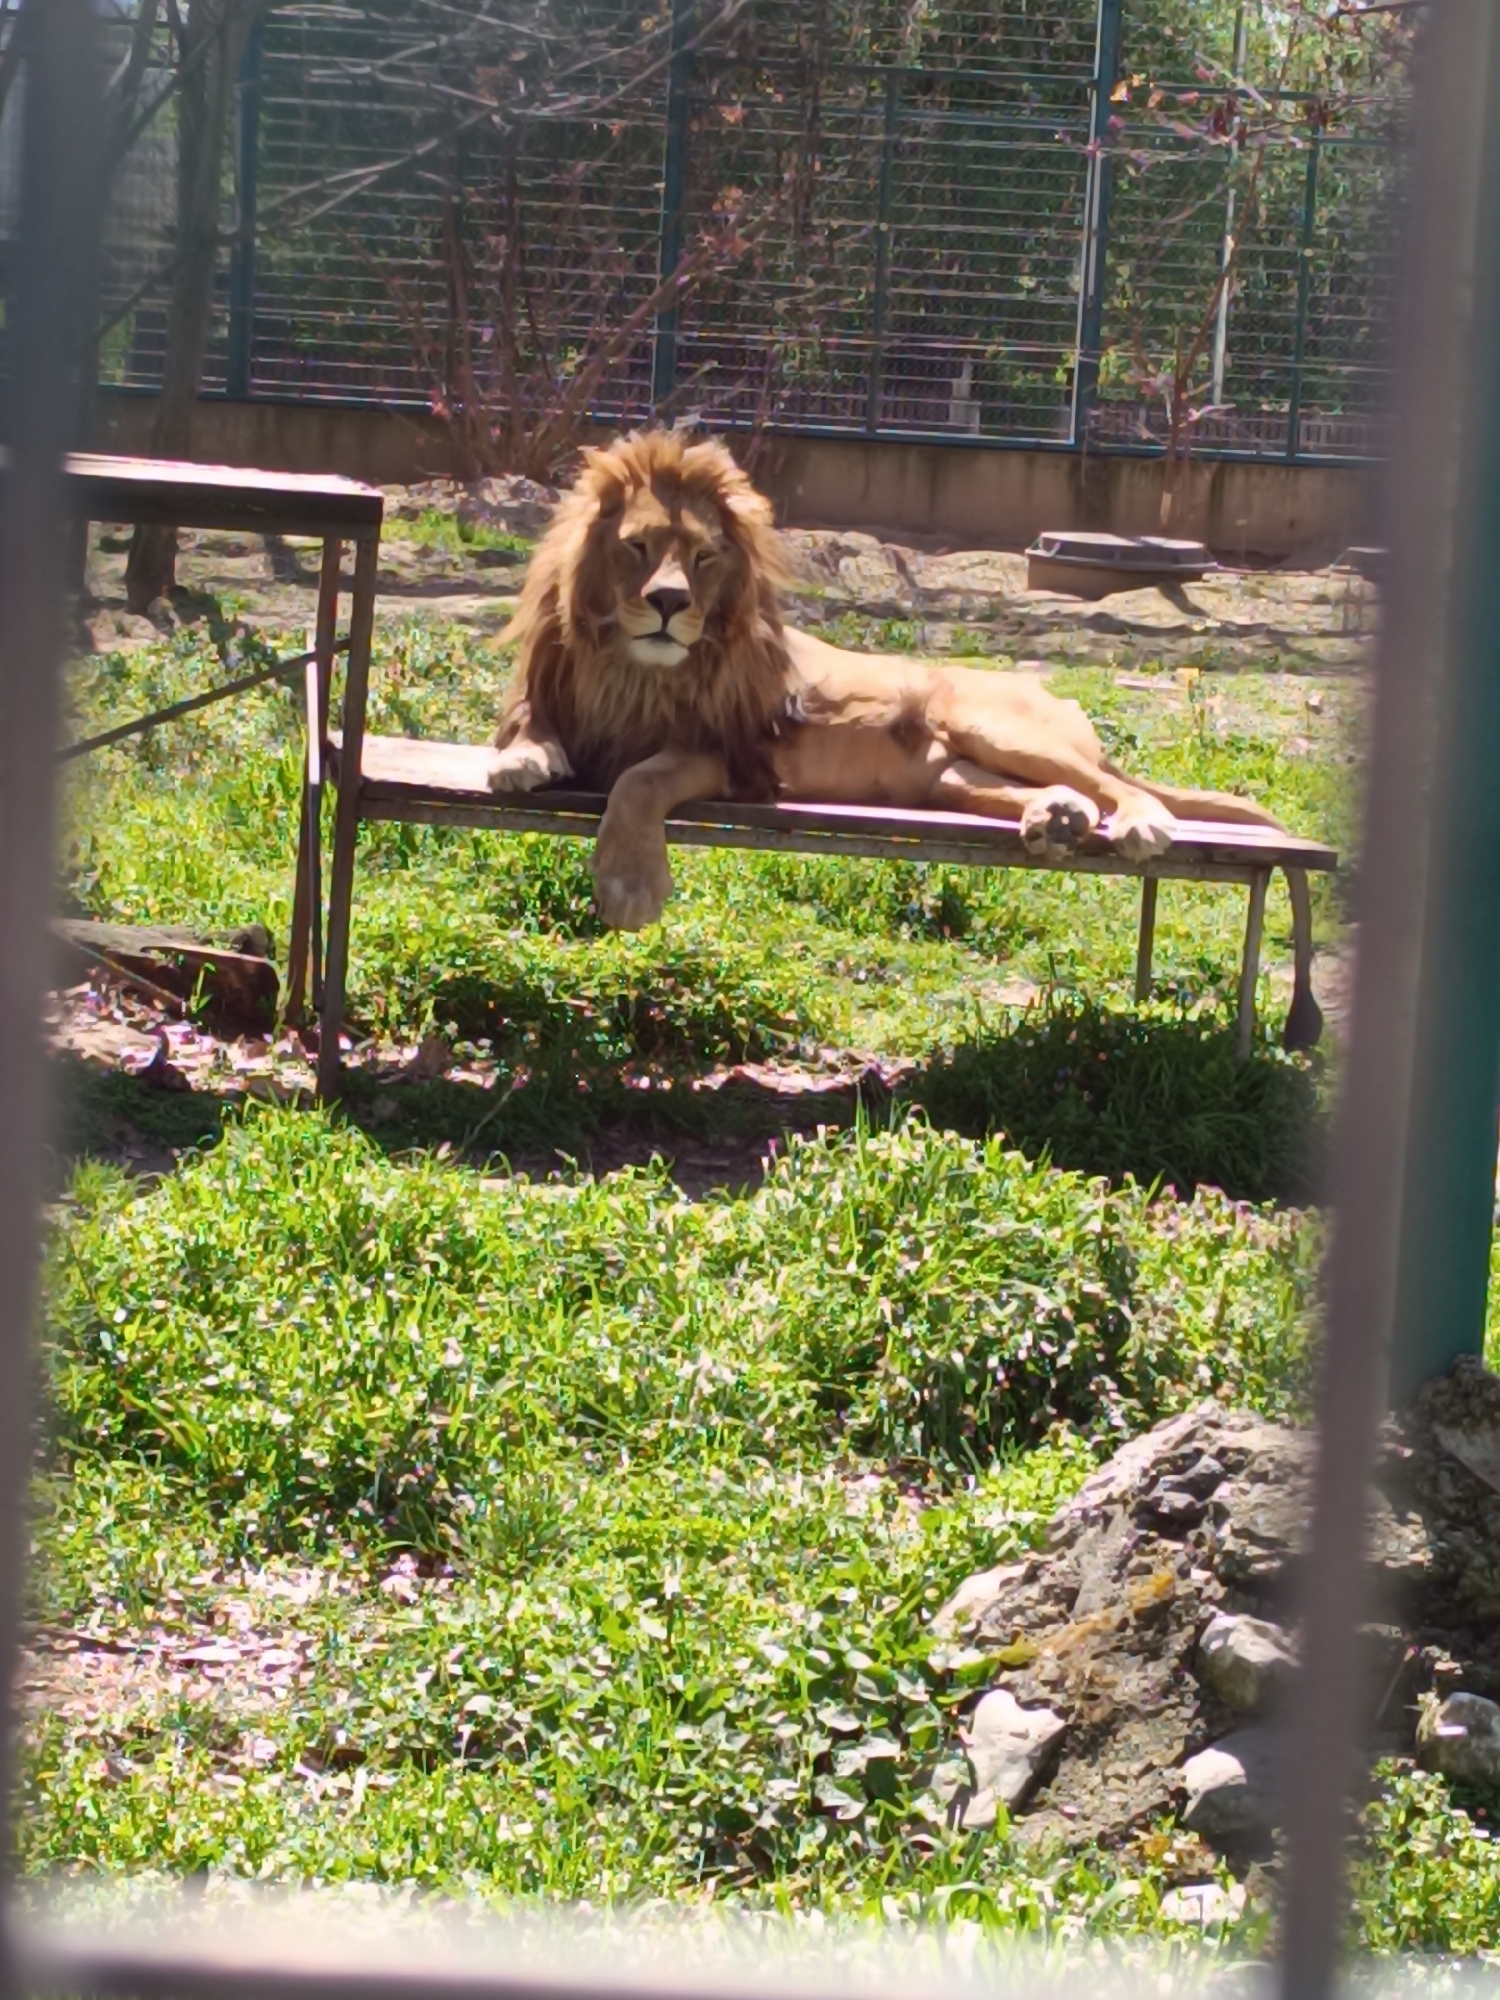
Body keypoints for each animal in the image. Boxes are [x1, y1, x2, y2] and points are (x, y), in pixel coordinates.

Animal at [488, 430, 1283, 934]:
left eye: (704, 557)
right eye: (637, 548)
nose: (668, 602)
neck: (632, 671)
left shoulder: (724, 753)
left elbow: (639, 780)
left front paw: (628, 889)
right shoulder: (557, 690)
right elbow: (529, 724)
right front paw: (522, 759)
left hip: (991, 724)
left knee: (1123, 787)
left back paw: (1139, 821)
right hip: (952, 778)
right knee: (1052, 791)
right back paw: (1056, 817)